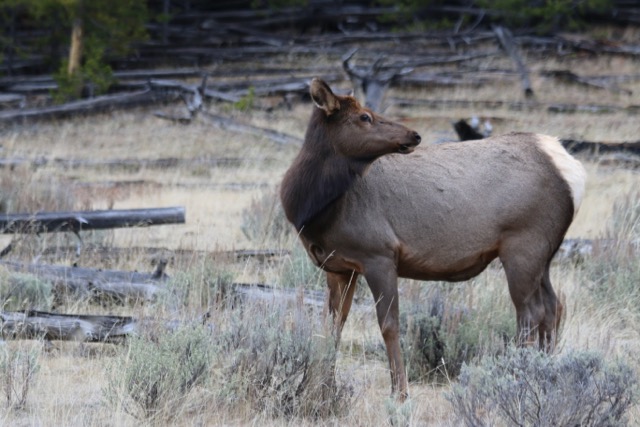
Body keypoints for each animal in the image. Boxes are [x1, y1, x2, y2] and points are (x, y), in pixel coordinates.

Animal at [280, 78, 587, 399]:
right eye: (364, 116)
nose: (413, 134)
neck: (313, 210)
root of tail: (572, 169)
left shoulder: (379, 254)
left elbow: (389, 325)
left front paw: (399, 393)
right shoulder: (339, 267)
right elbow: (334, 325)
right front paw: (321, 387)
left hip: (523, 245)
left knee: (530, 312)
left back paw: (521, 378)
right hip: (545, 253)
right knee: (554, 306)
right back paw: (546, 373)